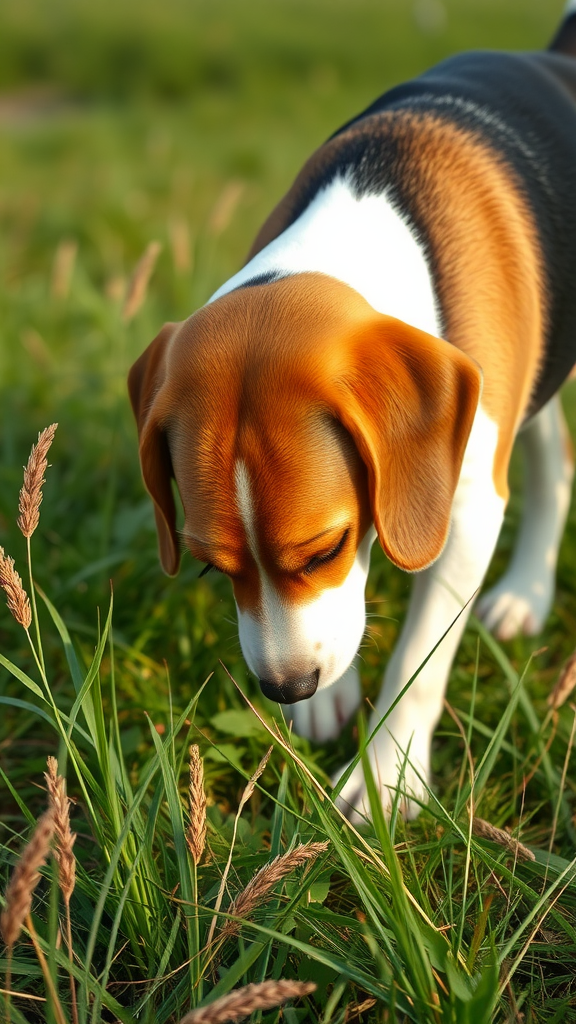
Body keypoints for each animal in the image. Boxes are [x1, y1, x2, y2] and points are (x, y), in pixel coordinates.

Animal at [127, 4, 573, 819]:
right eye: (208, 565)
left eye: (325, 549)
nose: (285, 687)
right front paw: (330, 701)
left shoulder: (467, 510)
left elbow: (422, 655)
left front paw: (389, 771)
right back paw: (528, 590)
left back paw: (525, 591)